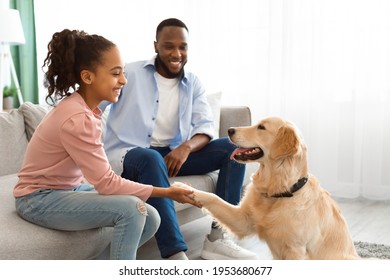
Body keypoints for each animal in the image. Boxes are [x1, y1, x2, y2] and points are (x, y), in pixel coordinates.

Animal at [184, 117, 358, 260]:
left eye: (261, 127)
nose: (230, 130)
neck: (279, 192)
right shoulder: (242, 220)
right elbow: (213, 197)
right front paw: (182, 187)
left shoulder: (295, 250)